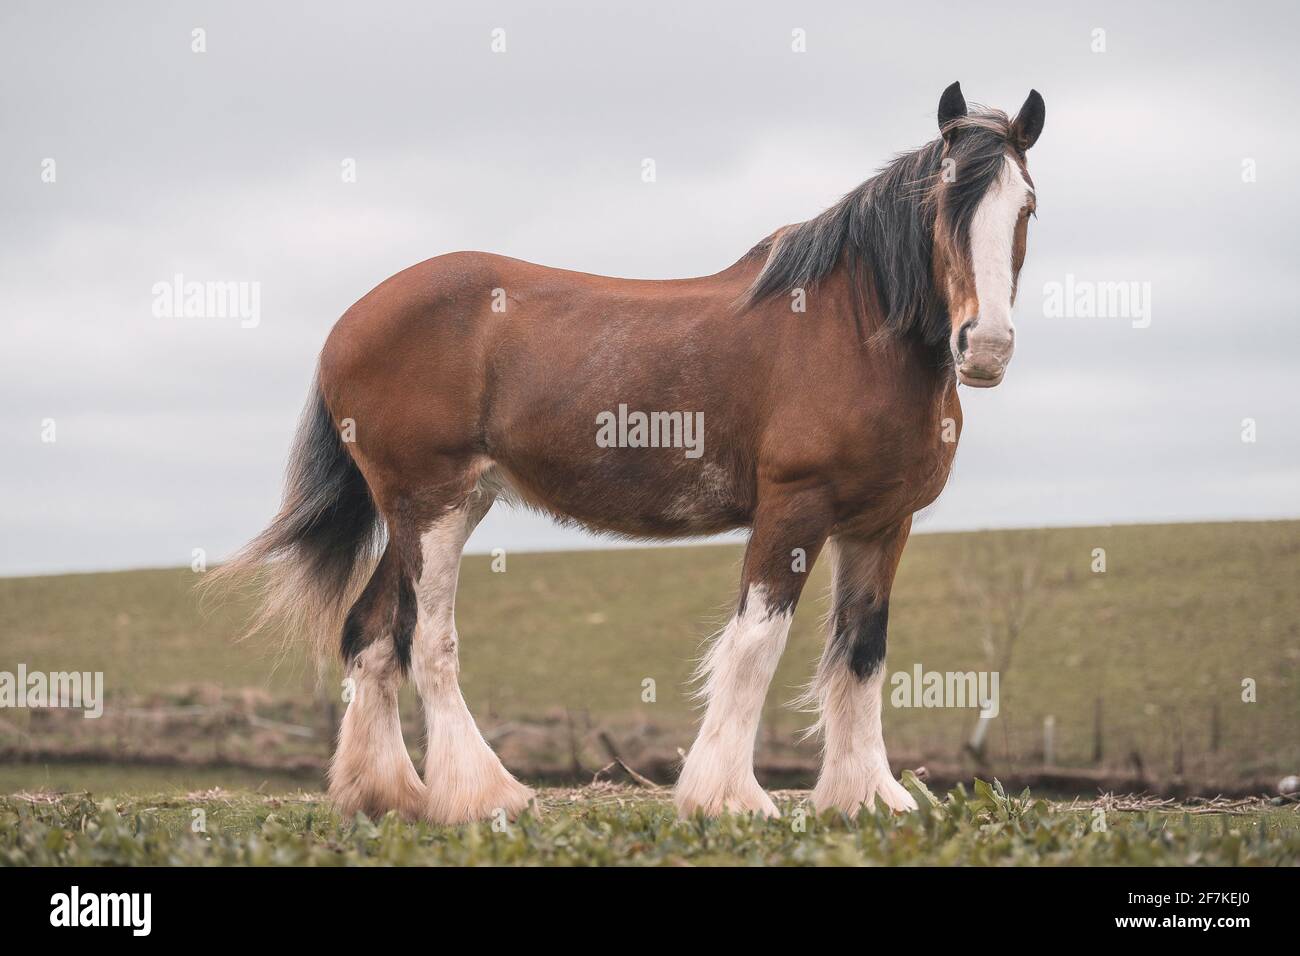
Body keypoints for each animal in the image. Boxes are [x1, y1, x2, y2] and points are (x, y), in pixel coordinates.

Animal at [213, 82, 1045, 822]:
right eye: (943, 202)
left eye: (1025, 207)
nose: (986, 346)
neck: (853, 328)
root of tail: (349, 323)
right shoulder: (794, 509)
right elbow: (756, 645)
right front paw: (729, 799)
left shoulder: (879, 524)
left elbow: (862, 653)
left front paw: (866, 795)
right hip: (432, 506)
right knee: (426, 641)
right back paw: (484, 795)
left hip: (435, 506)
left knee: (371, 635)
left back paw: (387, 795)